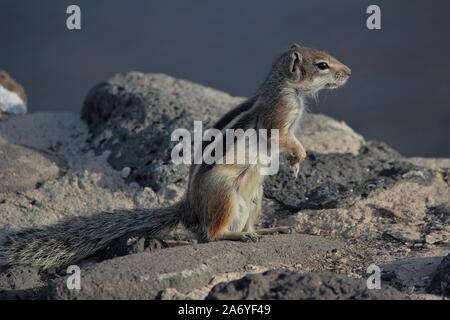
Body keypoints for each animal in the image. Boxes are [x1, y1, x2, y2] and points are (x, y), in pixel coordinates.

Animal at [0, 43, 352, 268]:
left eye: (328, 58)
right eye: (322, 65)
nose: (348, 72)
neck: (287, 88)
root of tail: (189, 207)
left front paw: (294, 166)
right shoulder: (278, 119)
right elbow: (284, 140)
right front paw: (299, 159)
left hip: (255, 196)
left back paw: (264, 230)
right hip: (225, 193)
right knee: (209, 236)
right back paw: (236, 236)